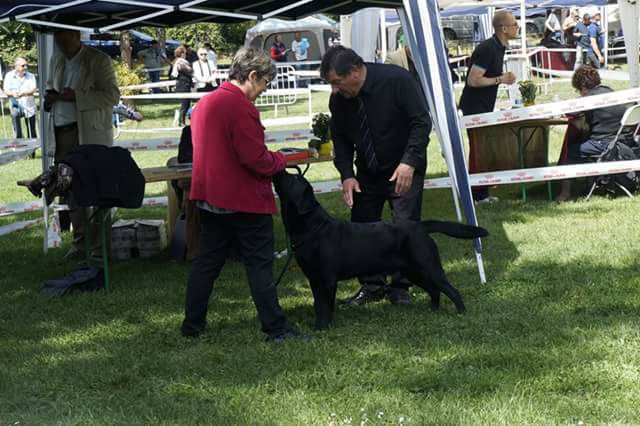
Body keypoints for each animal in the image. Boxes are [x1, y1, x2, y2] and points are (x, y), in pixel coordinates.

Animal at [272, 171, 490, 330]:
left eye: (292, 178)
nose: (279, 168)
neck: (313, 228)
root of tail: (419, 226)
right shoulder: (314, 279)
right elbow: (319, 304)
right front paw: (320, 326)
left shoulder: (326, 279)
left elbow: (325, 306)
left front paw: (322, 328)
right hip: (414, 271)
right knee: (434, 290)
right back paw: (433, 311)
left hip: (429, 266)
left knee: (451, 290)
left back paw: (461, 313)